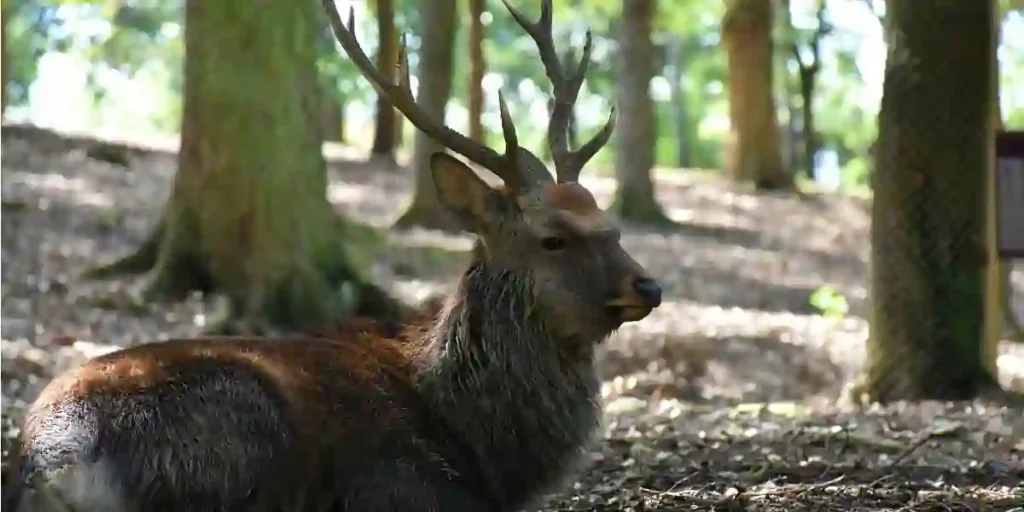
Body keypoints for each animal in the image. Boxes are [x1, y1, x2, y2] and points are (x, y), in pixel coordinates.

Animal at [4, 2, 663, 509]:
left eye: (610, 224)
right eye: (553, 238)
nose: (649, 286)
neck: (483, 442)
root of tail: (53, 465)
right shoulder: (402, 484)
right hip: (242, 426)